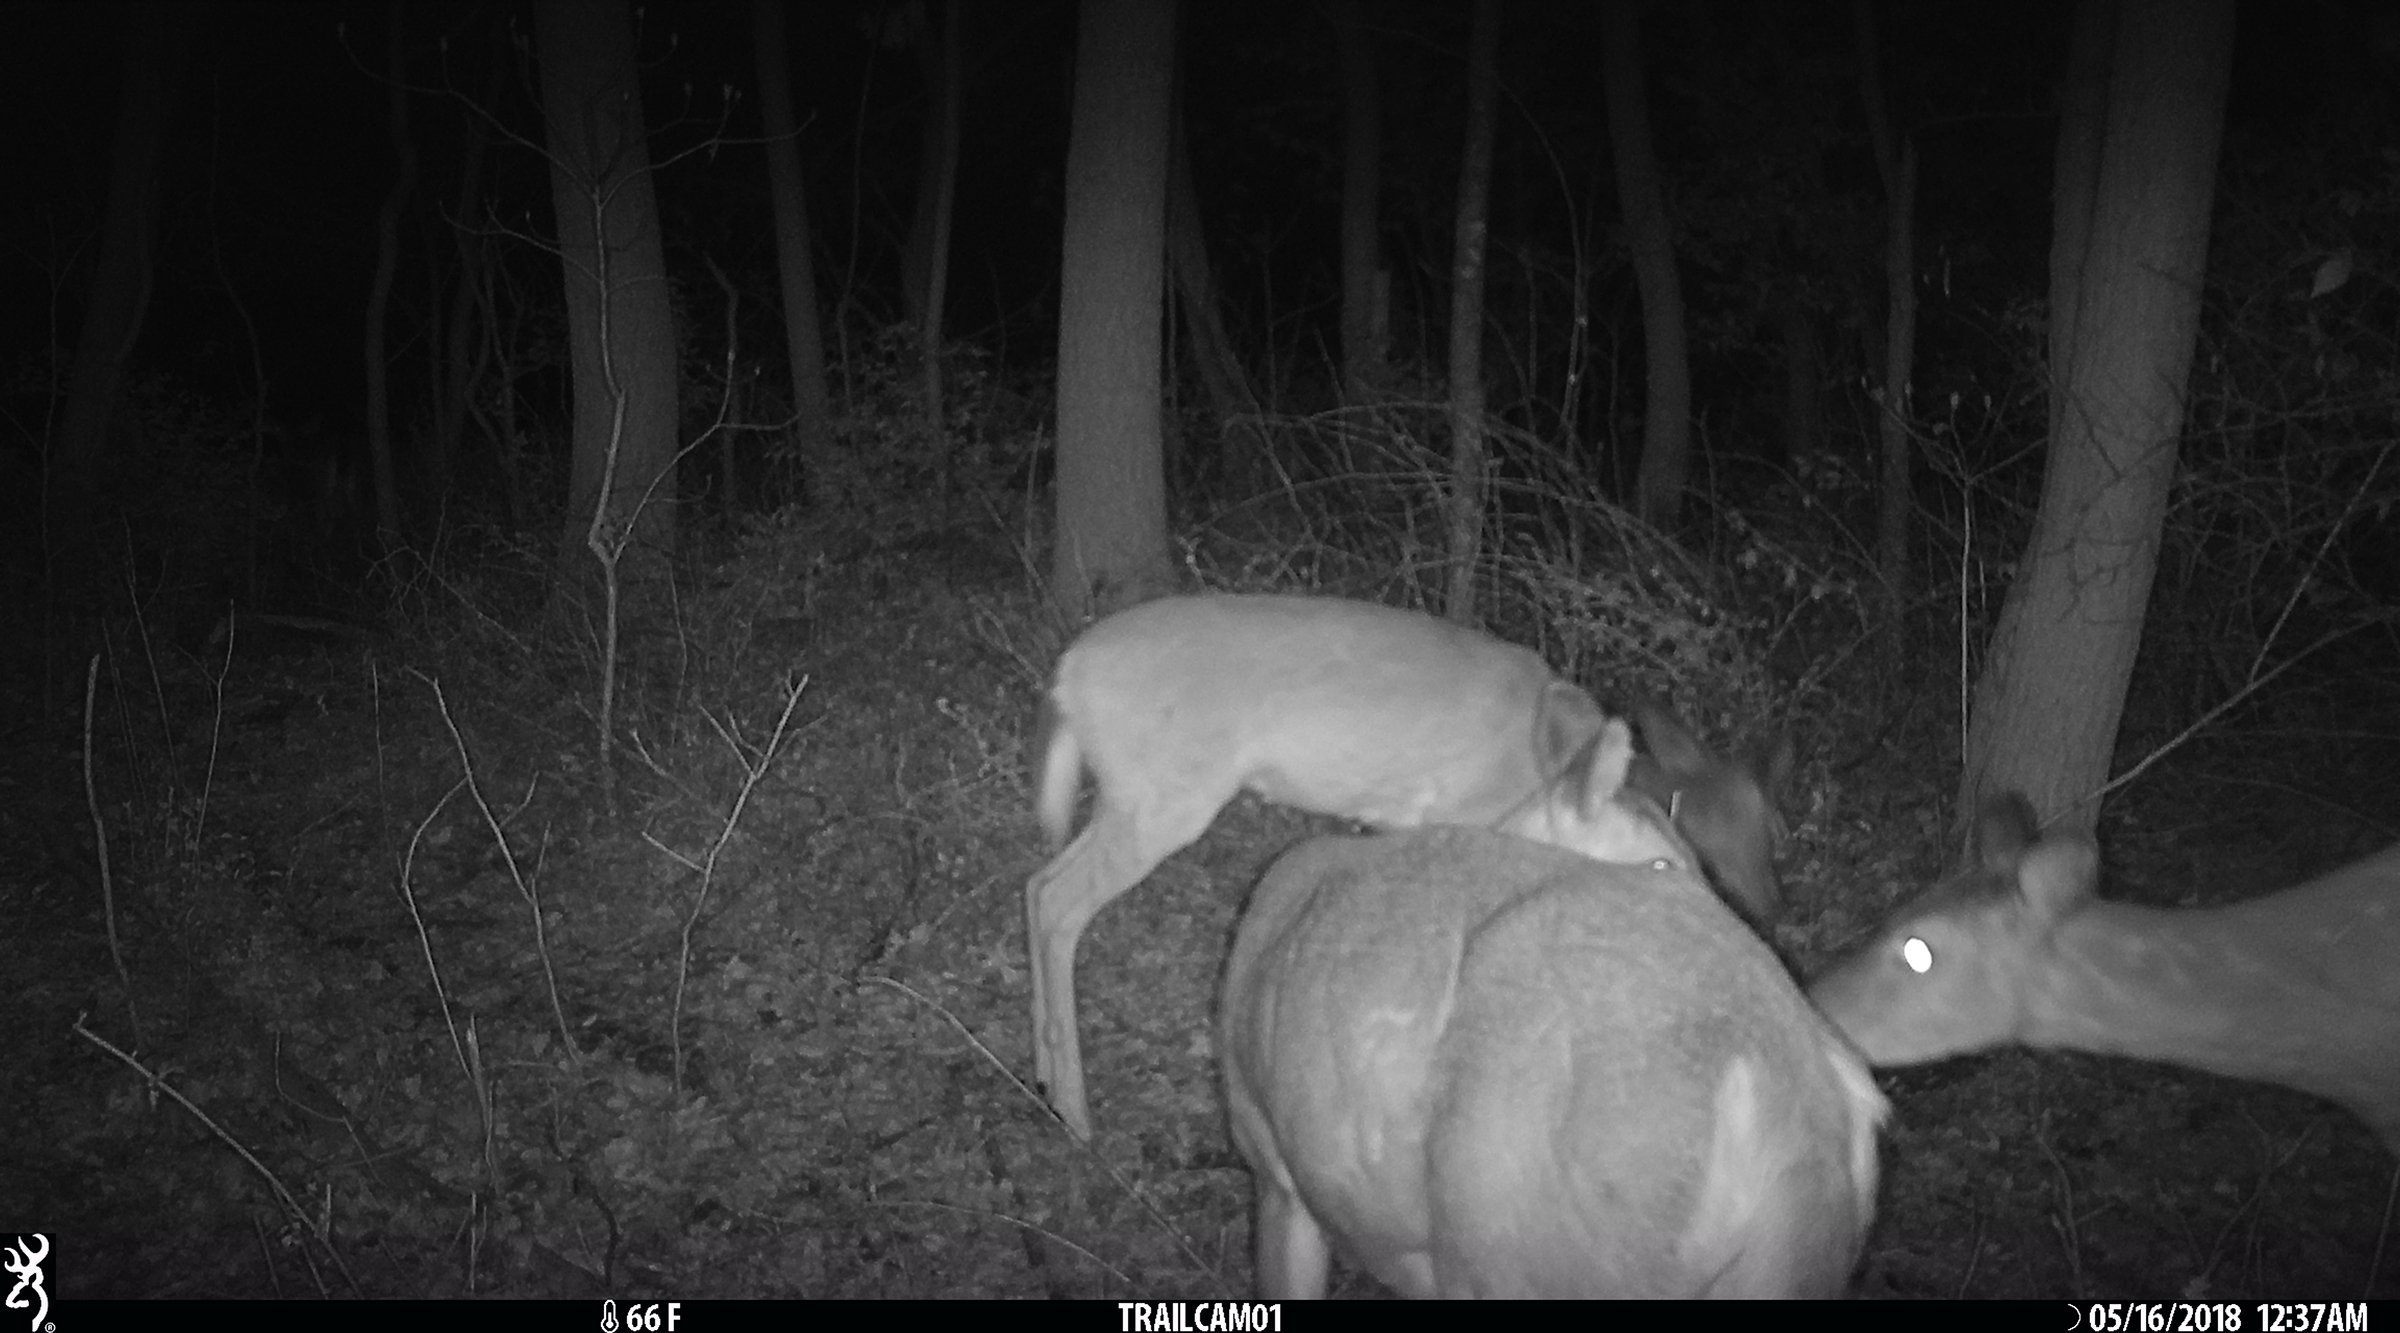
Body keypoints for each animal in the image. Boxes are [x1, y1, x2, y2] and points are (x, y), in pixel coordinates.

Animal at [1025, 592, 1791, 1140]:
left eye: (1768, 835)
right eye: (1673, 860)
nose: (1763, 918)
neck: (1535, 769)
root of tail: (1066, 675)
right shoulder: (1457, 817)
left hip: (1127, 799)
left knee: (1036, 883)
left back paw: (1041, 1074)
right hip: (1162, 797)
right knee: (1059, 903)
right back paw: (1077, 1114)